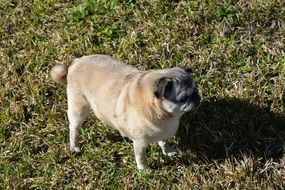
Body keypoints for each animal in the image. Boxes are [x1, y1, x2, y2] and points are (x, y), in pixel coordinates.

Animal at [50, 54, 200, 170]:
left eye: (196, 89)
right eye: (183, 98)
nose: (197, 97)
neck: (165, 116)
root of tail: (75, 64)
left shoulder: (163, 134)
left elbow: (164, 142)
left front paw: (167, 151)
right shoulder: (140, 143)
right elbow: (141, 158)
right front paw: (144, 170)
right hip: (78, 109)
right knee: (74, 129)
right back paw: (74, 146)